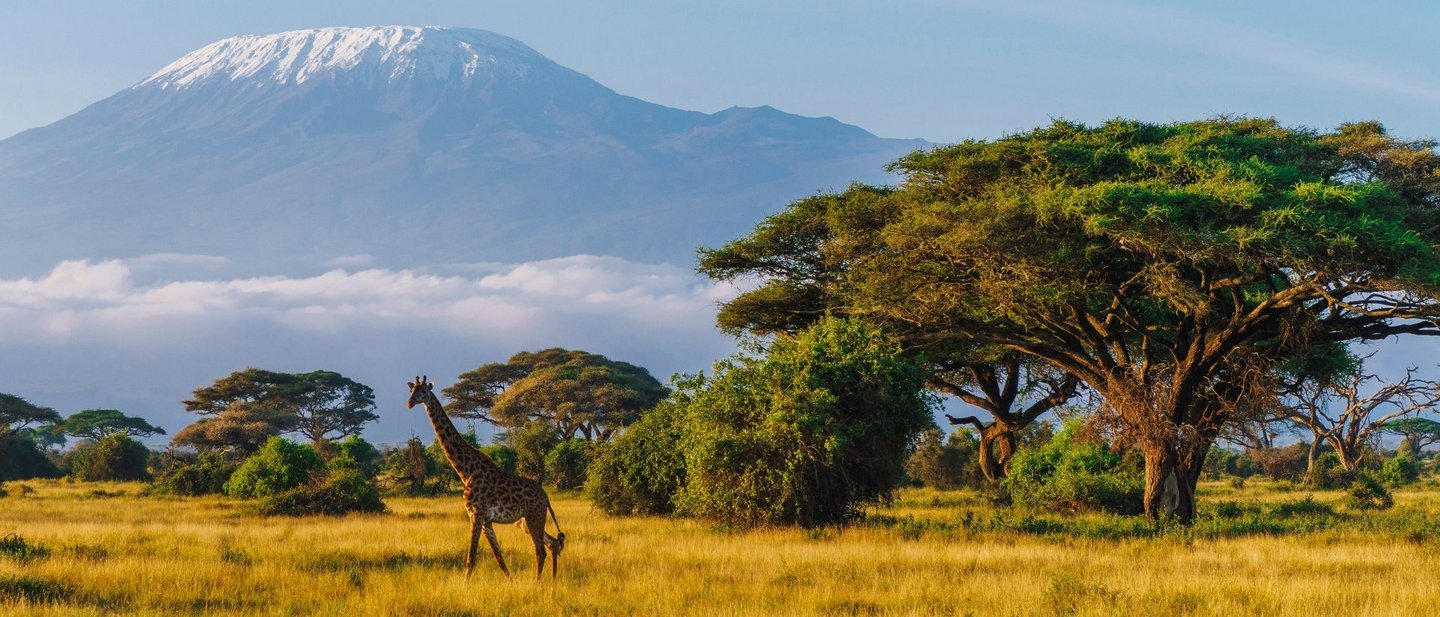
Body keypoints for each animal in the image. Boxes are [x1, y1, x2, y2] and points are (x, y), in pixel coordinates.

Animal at [406, 376, 566, 580]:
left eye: (424, 391)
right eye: (411, 390)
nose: (410, 403)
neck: (466, 470)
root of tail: (545, 496)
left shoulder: (476, 514)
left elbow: (471, 559)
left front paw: (465, 585)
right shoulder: (486, 521)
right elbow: (500, 559)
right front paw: (511, 582)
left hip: (533, 516)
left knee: (540, 550)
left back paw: (538, 583)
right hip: (526, 521)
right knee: (552, 543)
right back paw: (552, 581)